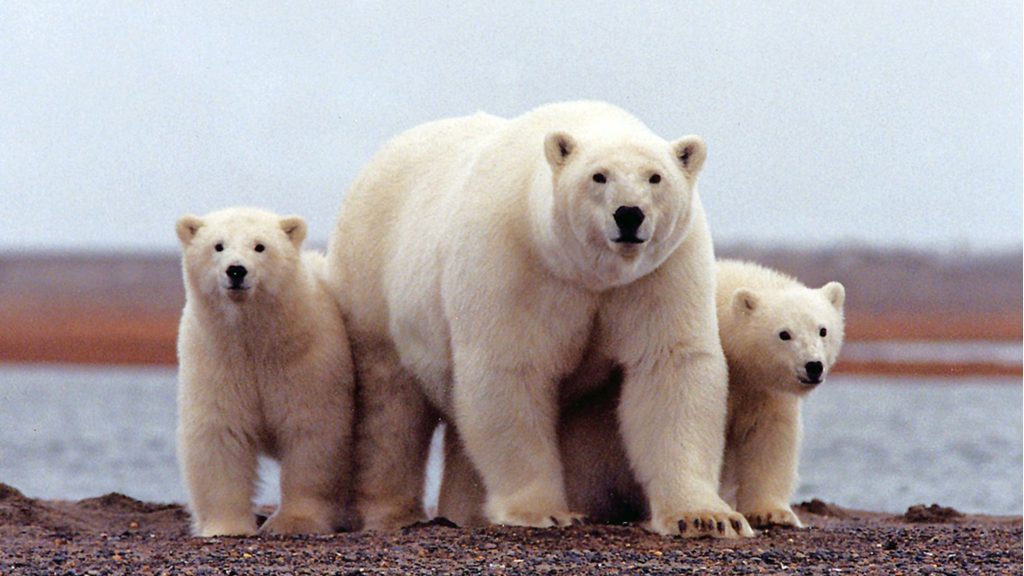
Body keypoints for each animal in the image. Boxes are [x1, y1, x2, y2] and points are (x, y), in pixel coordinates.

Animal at [175, 207, 355, 537]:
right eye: (218, 245)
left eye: (260, 246)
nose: (236, 271)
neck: (257, 341)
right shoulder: (217, 360)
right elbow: (220, 433)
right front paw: (227, 527)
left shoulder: (307, 361)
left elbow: (311, 433)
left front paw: (294, 522)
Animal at [327, 101, 752, 538]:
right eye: (598, 176)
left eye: (655, 177)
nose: (629, 215)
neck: (587, 273)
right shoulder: (515, 263)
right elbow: (511, 371)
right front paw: (543, 511)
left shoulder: (660, 272)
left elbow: (670, 367)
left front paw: (706, 517)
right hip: (373, 282)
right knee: (390, 409)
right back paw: (392, 513)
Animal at [438, 259, 846, 530]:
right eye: (783, 334)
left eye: (823, 330)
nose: (813, 366)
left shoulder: (761, 390)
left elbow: (769, 437)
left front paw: (772, 513)